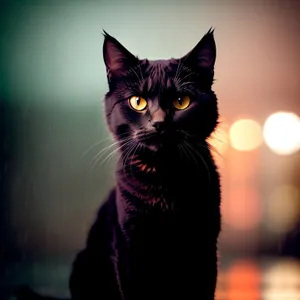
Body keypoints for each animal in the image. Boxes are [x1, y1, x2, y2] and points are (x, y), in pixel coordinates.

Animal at [17, 28, 223, 300]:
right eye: (137, 102)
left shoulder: (205, 247)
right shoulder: (128, 248)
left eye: (181, 101)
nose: (159, 123)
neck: (163, 181)